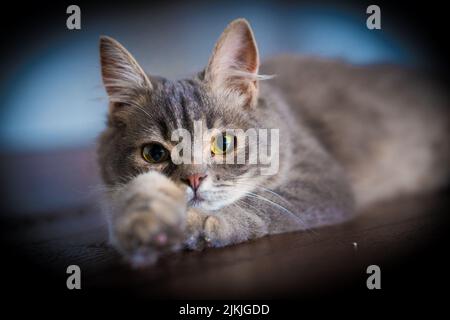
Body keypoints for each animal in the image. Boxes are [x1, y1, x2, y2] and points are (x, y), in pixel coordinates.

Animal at [96, 18, 448, 266]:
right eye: (154, 153)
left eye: (224, 144)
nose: (194, 179)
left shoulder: (323, 182)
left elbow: (255, 205)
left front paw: (192, 223)